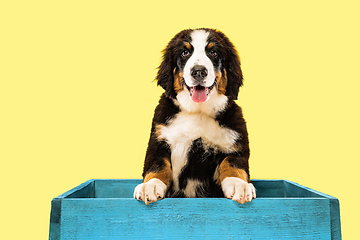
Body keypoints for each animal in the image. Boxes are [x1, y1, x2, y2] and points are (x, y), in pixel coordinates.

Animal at [135, 27, 256, 204]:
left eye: (213, 52)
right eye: (185, 52)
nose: (198, 71)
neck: (197, 112)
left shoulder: (235, 145)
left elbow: (232, 164)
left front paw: (239, 185)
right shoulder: (158, 142)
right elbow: (158, 167)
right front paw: (150, 186)